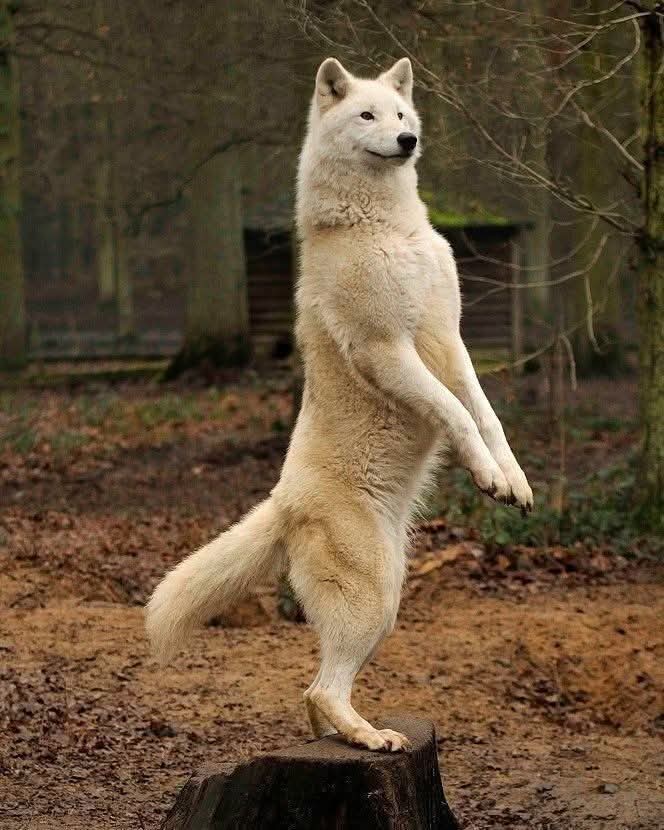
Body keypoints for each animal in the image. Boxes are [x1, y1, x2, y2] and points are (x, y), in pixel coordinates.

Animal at [146, 57, 533, 752]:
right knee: (319, 688)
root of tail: (282, 504)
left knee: (315, 696)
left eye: (401, 114)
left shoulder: (451, 340)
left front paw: (511, 481)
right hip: (373, 598)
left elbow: (485, 413)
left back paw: (349, 734)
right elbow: (457, 414)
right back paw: (372, 737)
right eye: (366, 116)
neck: (383, 224)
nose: (407, 140)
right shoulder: (390, 350)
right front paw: (487, 476)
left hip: (389, 598)